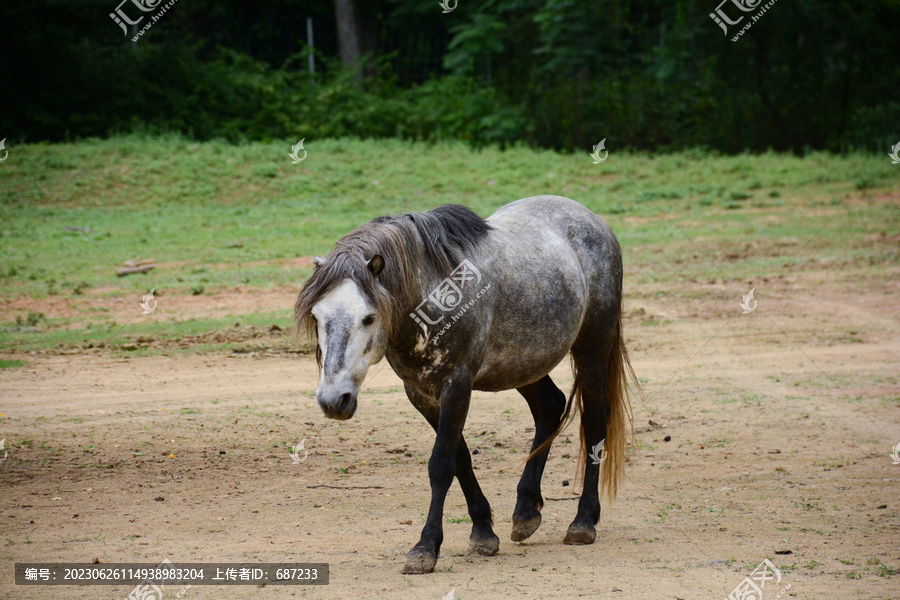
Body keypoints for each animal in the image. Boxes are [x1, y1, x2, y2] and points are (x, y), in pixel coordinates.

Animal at [296, 195, 640, 576]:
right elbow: (460, 458)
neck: (431, 292)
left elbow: (440, 465)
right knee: (550, 407)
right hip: (523, 364)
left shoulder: (457, 385)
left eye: (369, 318)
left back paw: (583, 521)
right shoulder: (421, 393)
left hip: (592, 348)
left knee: (594, 419)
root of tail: (595, 221)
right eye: (317, 316)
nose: (333, 400)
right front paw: (483, 532)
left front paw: (425, 547)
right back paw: (526, 512)